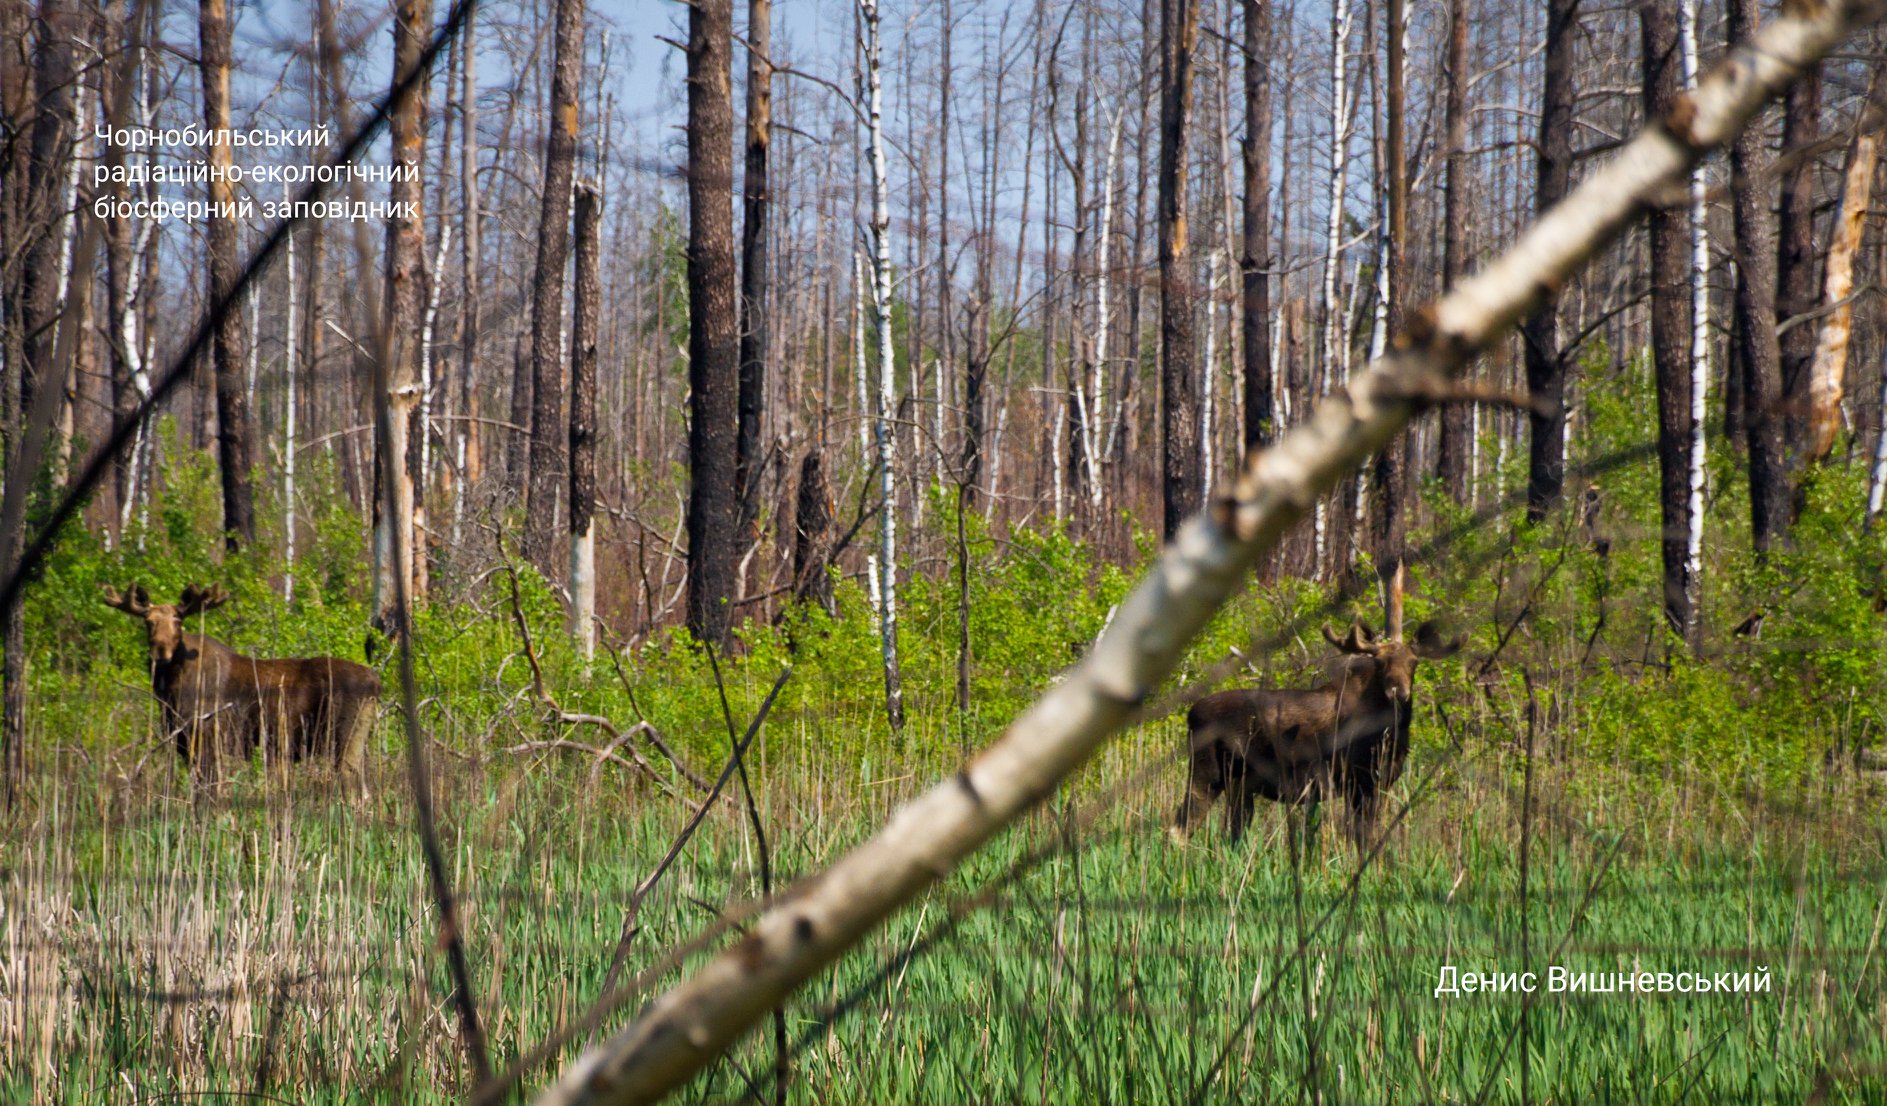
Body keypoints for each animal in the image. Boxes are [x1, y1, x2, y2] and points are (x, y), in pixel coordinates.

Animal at [106, 581, 383, 796]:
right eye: (148, 621)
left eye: (177, 621)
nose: (160, 651)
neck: (170, 692)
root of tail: (376, 683)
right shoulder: (184, 743)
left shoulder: (209, 738)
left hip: (345, 737)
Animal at [1169, 588, 1464, 849]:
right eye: (1380, 663)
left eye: (1414, 663)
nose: (1398, 693)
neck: (1389, 734)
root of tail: (1191, 714)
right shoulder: (1357, 780)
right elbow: (1360, 836)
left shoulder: (1377, 783)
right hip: (1206, 774)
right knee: (1180, 828)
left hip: (1239, 786)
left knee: (1229, 833)